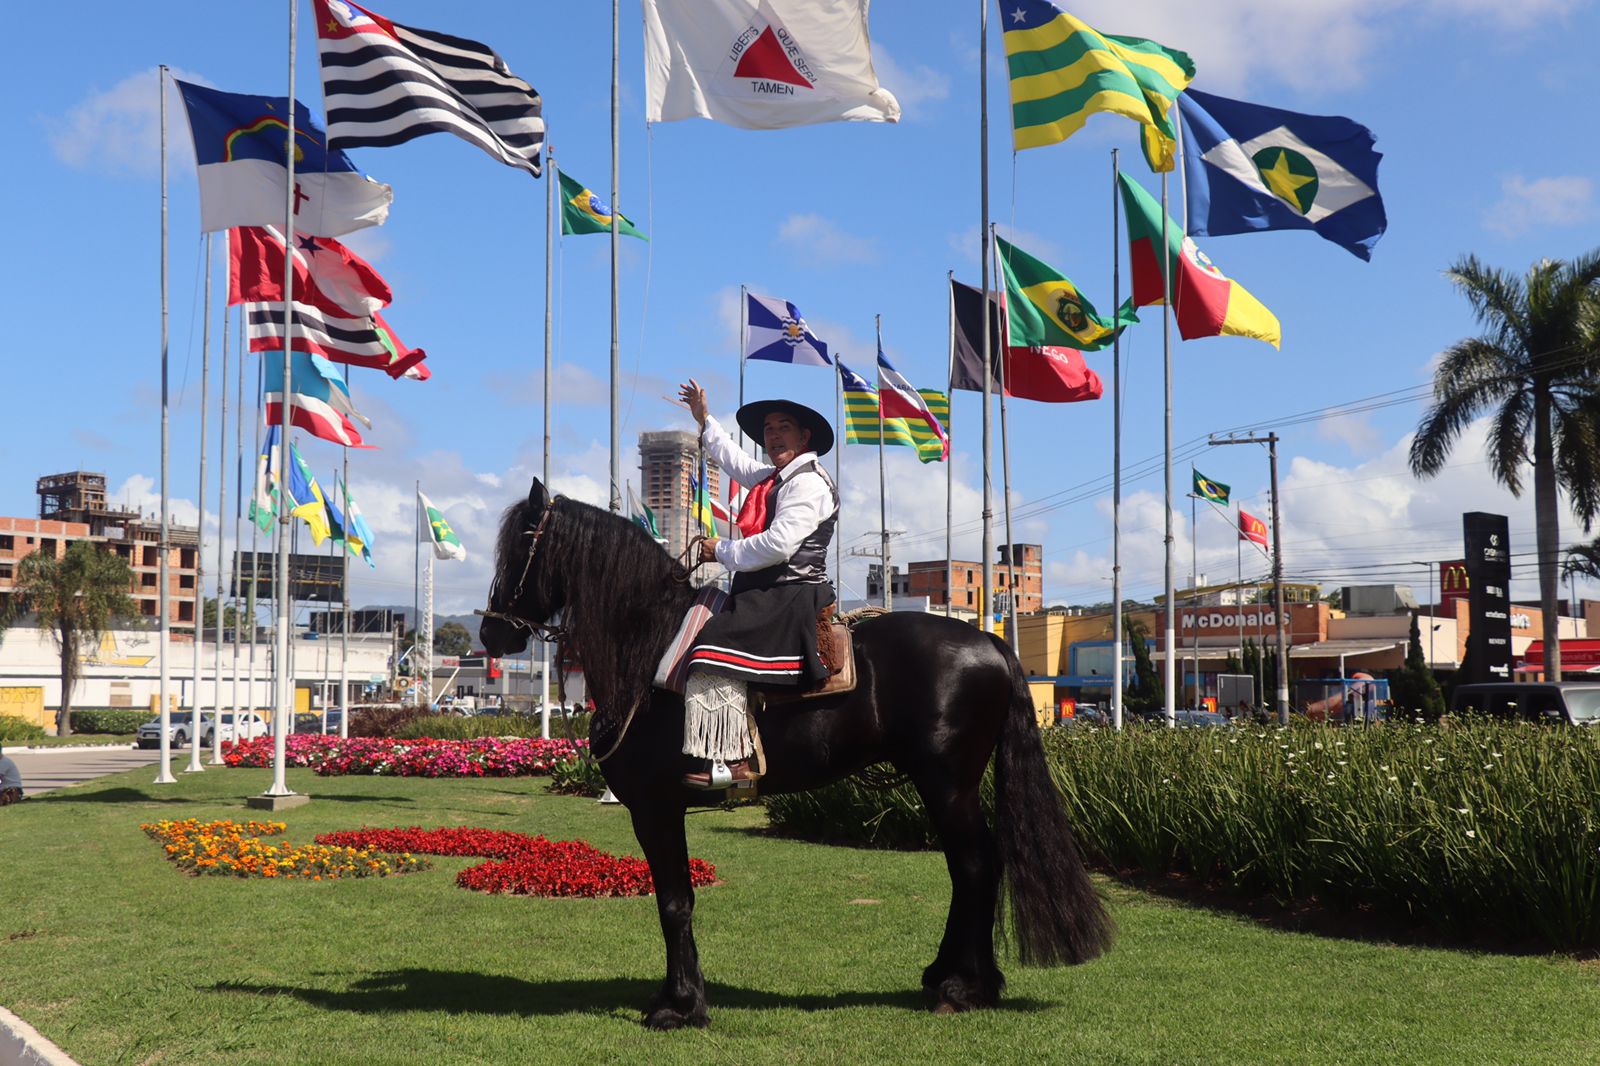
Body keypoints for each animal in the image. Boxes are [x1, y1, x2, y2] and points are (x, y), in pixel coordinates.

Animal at [480, 480, 1113, 1024]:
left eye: (519, 550)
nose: (491, 635)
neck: (647, 649)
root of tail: (989, 641)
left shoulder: (657, 809)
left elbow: (675, 901)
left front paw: (680, 1006)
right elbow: (673, 898)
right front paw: (680, 996)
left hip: (947, 783)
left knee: (976, 864)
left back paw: (963, 987)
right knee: (971, 866)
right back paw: (950, 976)